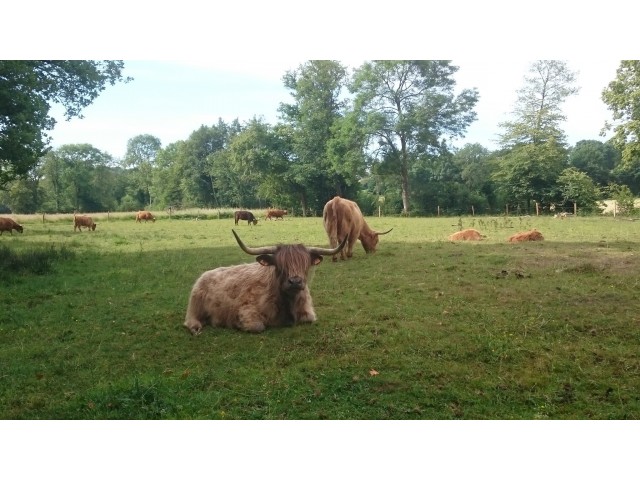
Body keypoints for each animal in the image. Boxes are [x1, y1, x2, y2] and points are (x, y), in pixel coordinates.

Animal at [182, 230, 348, 334]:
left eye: (305, 264)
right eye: (280, 265)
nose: (295, 281)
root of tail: (205, 274)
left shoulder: (308, 313)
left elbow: (309, 319)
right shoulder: (247, 310)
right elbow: (257, 326)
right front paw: (237, 324)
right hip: (195, 305)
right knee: (190, 320)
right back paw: (196, 327)